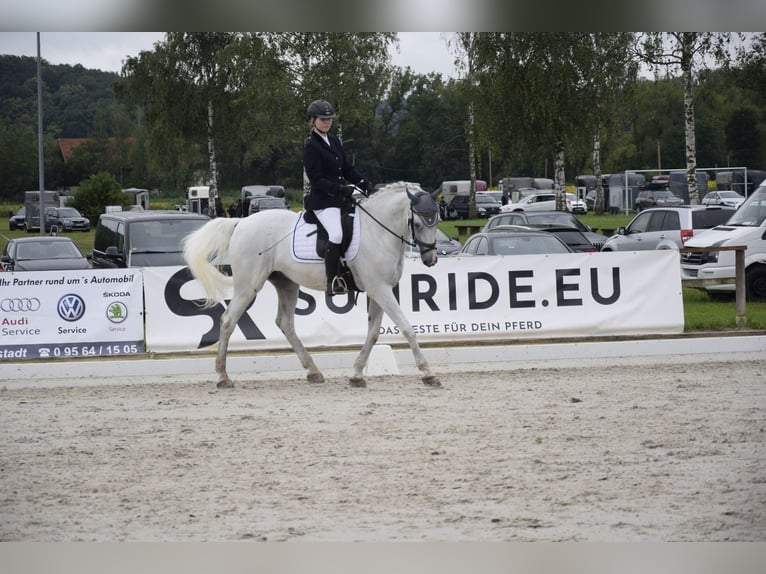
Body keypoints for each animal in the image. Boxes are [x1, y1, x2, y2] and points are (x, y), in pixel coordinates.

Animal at [184, 183, 444, 392]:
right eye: (417, 223)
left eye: (437, 221)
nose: (431, 259)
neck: (378, 232)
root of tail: (241, 222)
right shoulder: (380, 289)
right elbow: (407, 328)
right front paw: (428, 374)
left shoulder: (379, 289)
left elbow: (372, 334)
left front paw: (357, 375)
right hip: (249, 285)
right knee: (228, 320)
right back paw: (223, 376)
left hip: (286, 283)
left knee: (285, 323)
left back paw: (313, 371)